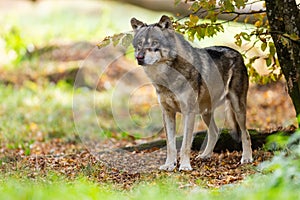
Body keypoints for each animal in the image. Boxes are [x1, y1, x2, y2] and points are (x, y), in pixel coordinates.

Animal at [130, 15, 252, 171]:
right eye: (139, 44)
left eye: (155, 43)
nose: (139, 57)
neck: (167, 78)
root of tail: (237, 53)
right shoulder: (167, 113)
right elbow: (170, 145)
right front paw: (169, 165)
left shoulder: (188, 112)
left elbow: (185, 144)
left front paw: (184, 166)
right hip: (205, 112)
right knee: (215, 132)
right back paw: (205, 155)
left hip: (237, 107)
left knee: (245, 133)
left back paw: (247, 158)